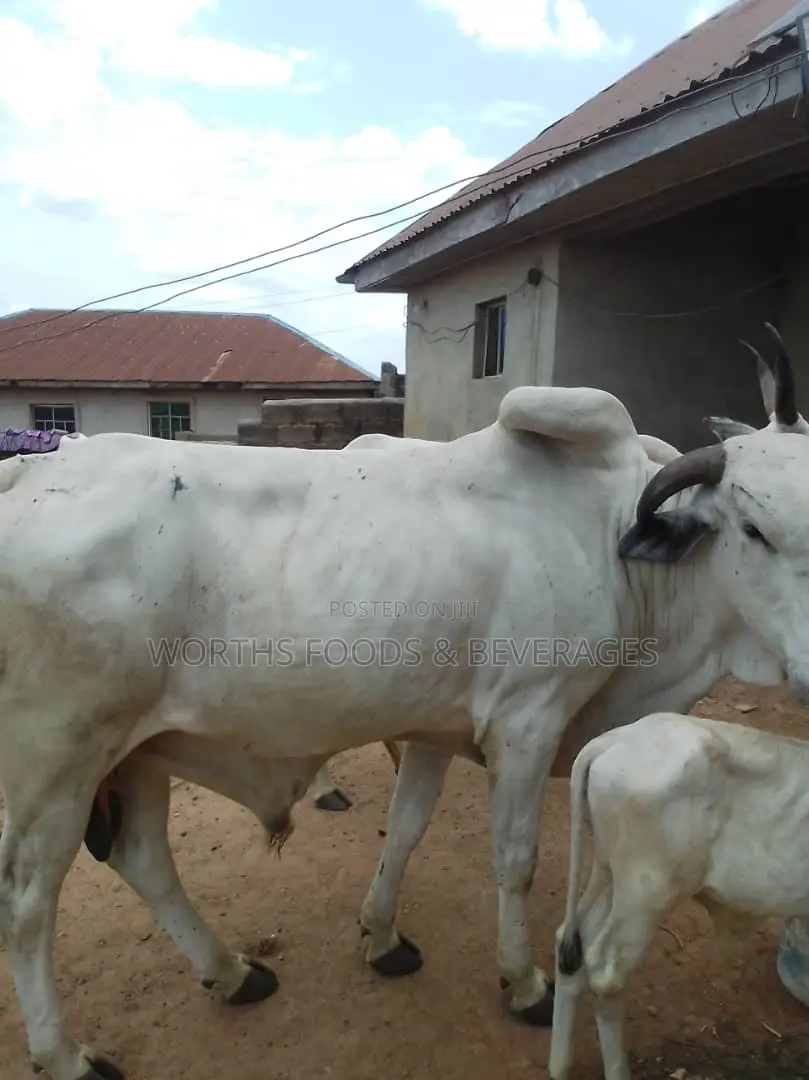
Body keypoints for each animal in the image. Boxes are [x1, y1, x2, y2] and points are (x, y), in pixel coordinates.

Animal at [547, 711, 809, 1080]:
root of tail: (612, 741)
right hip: (646, 896)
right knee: (606, 974)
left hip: (610, 877)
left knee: (572, 943)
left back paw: (560, 1066)